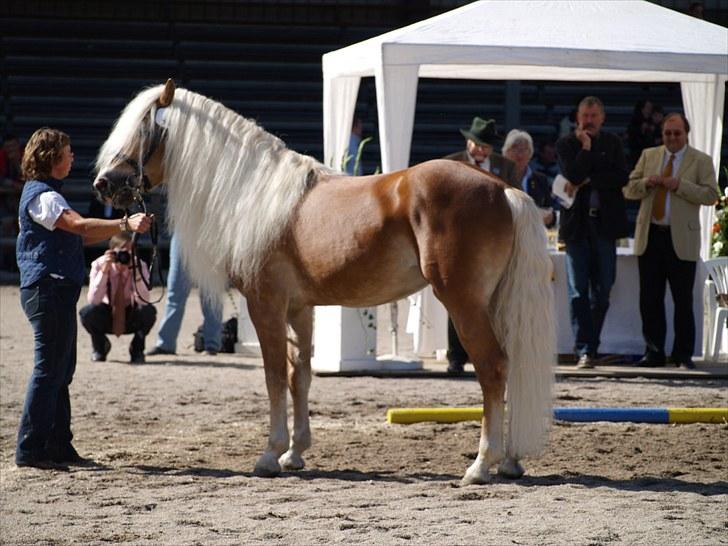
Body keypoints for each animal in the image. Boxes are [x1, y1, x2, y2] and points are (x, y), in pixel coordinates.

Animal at [94, 79, 556, 480]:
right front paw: (295, 453)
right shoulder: (300, 309)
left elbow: (273, 376)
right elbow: (300, 375)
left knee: (492, 368)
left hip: (463, 304)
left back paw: (481, 465)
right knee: (510, 367)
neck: (255, 194)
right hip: (493, 304)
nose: (103, 184)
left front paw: (270, 455)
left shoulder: (265, 306)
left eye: (144, 130)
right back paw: (510, 461)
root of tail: (503, 189)